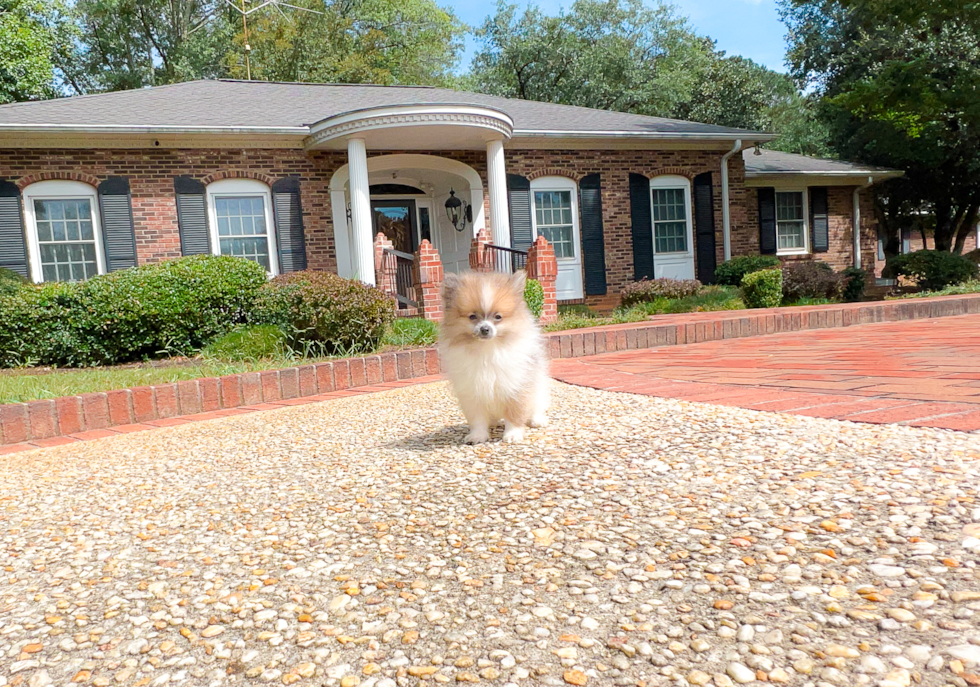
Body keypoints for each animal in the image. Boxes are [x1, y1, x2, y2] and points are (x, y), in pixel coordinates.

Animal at [438, 272, 548, 444]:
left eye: (498, 317)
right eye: (472, 316)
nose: (485, 329)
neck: (487, 349)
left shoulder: (515, 386)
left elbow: (514, 413)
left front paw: (513, 434)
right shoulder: (472, 390)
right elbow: (477, 419)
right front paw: (477, 436)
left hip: (538, 386)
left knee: (537, 404)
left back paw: (537, 420)